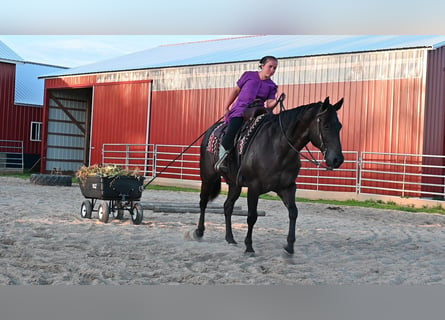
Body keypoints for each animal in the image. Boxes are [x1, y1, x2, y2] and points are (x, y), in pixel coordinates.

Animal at [191, 96, 344, 254]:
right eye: (326, 125)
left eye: (339, 126)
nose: (337, 159)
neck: (279, 147)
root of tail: (210, 131)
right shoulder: (254, 187)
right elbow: (252, 216)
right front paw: (249, 246)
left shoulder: (287, 187)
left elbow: (293, 212)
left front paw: (289, 246)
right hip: (208, 177)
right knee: (203, 202)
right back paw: (199, 232)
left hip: (234, 184)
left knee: (228, 206)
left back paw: (230, 238)